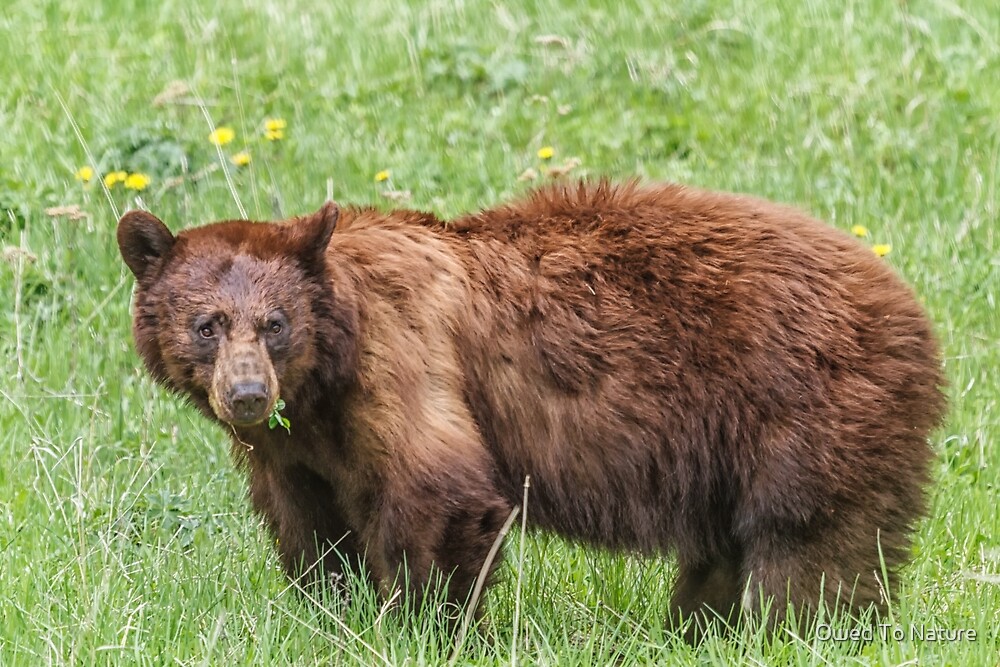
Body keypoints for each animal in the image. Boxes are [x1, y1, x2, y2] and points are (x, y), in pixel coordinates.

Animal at [117, 180, 946, 640]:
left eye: (275, 322)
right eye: (207, 323)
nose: (248, 395)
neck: (329, 373)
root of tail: (907, 303)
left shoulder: (404, 361)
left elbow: (440, 494)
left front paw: (424, 626)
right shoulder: (298, 453)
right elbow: (311, 531)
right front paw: (332, 611)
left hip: (805, 407)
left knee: (808, 547)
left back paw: (793, 631)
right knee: (725, 549)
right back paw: (695, 626)